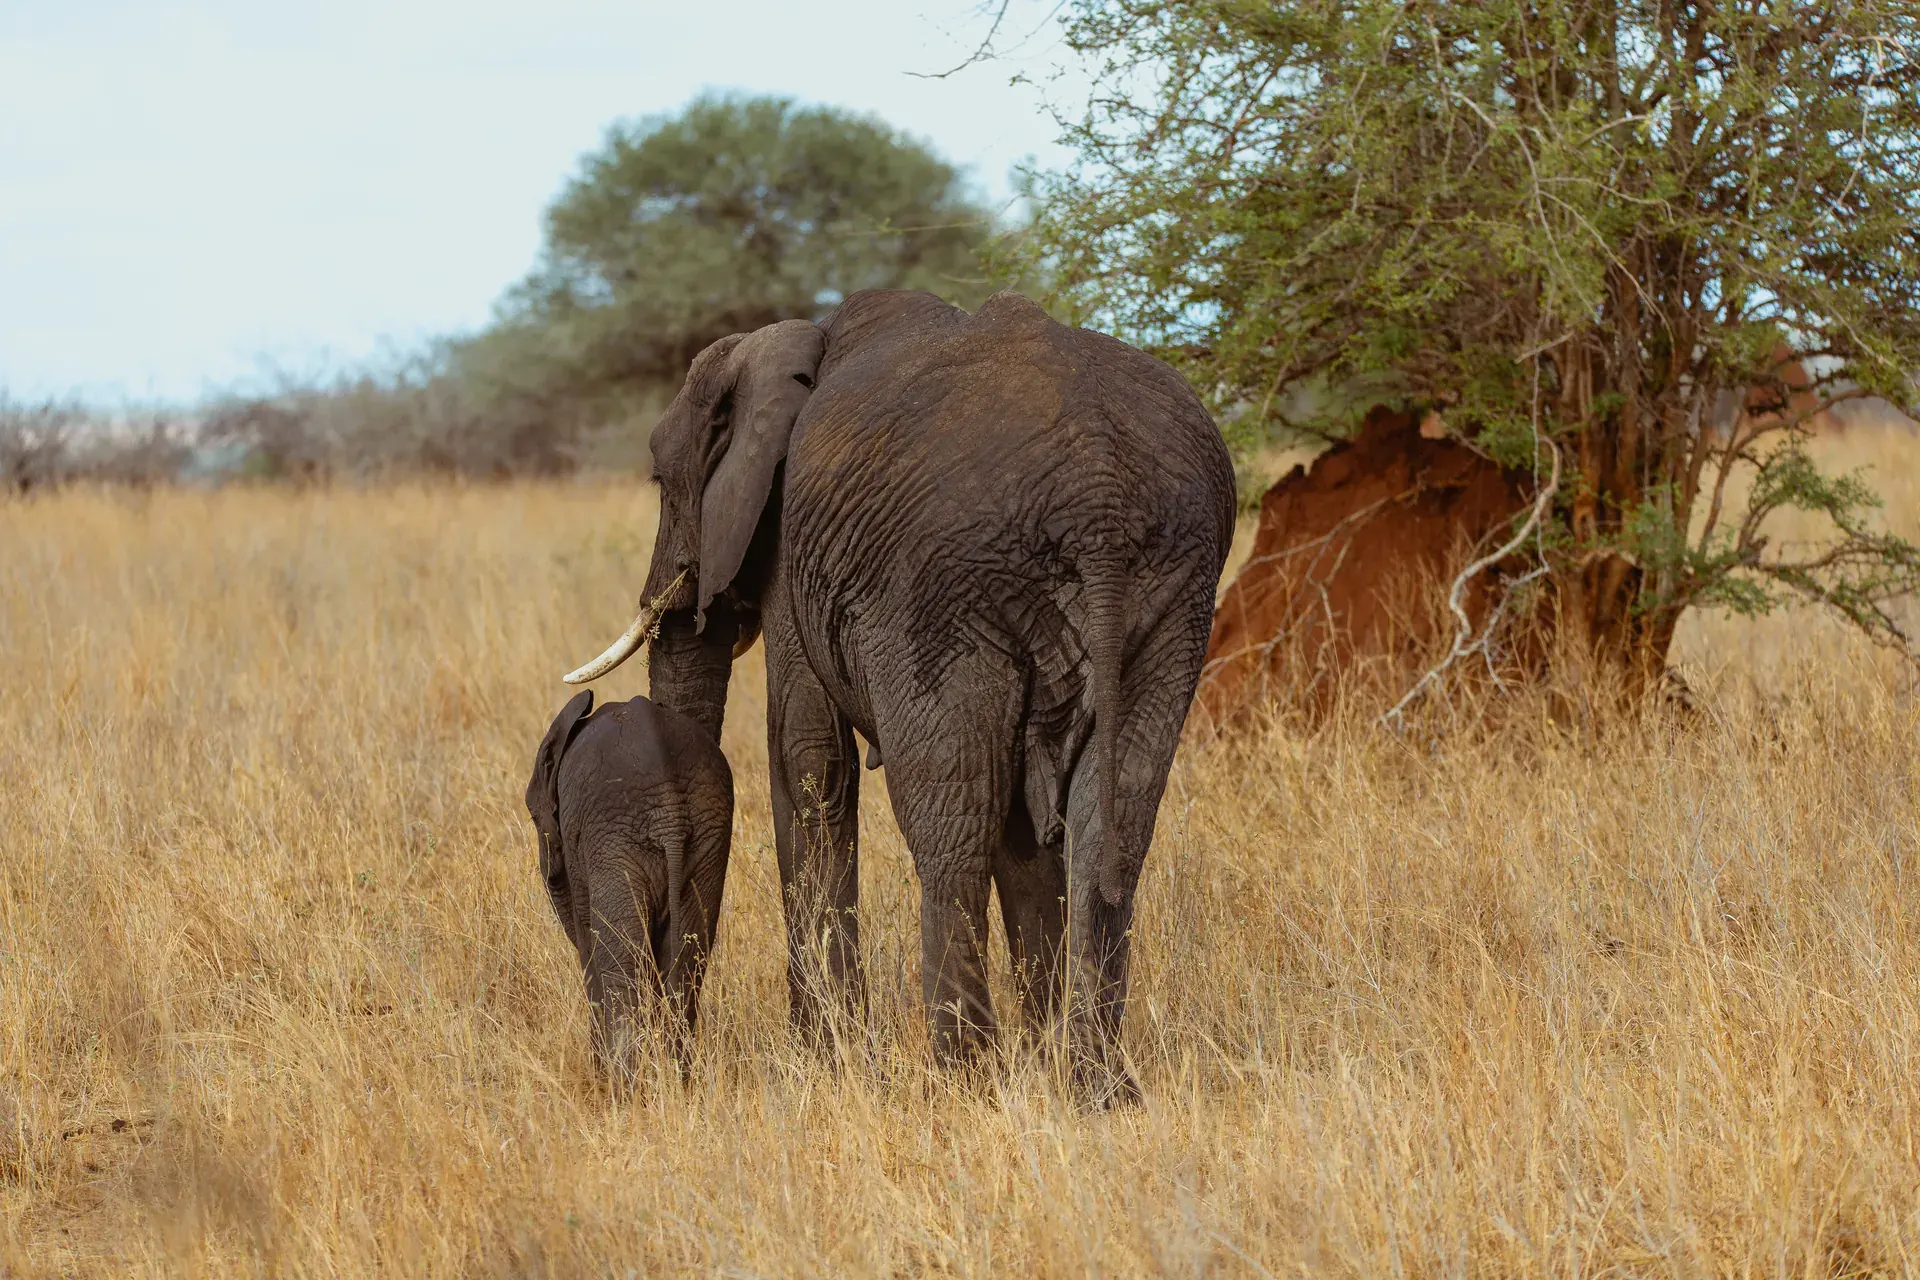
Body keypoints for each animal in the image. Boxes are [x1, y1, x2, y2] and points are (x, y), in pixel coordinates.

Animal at [524, 689, 733, 1078]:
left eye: (532, 815)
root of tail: (670, 810)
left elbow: (589, 946)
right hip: (708, 837)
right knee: (687, 967)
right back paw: (676, 1079)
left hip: (616, 843)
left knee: (623, 967)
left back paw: (622, 1085)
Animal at [563, 289, 1235, 1104]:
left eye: (661, 481)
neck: (798, 339)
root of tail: (1099, 498)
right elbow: (1022, 822)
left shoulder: (789, 542)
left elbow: (809, 760)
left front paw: (826, 1062)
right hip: (1170, 591)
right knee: (1111, 818)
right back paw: (1097, 1088)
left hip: (940, 596)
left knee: (950, 824)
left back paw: (963, 1080)